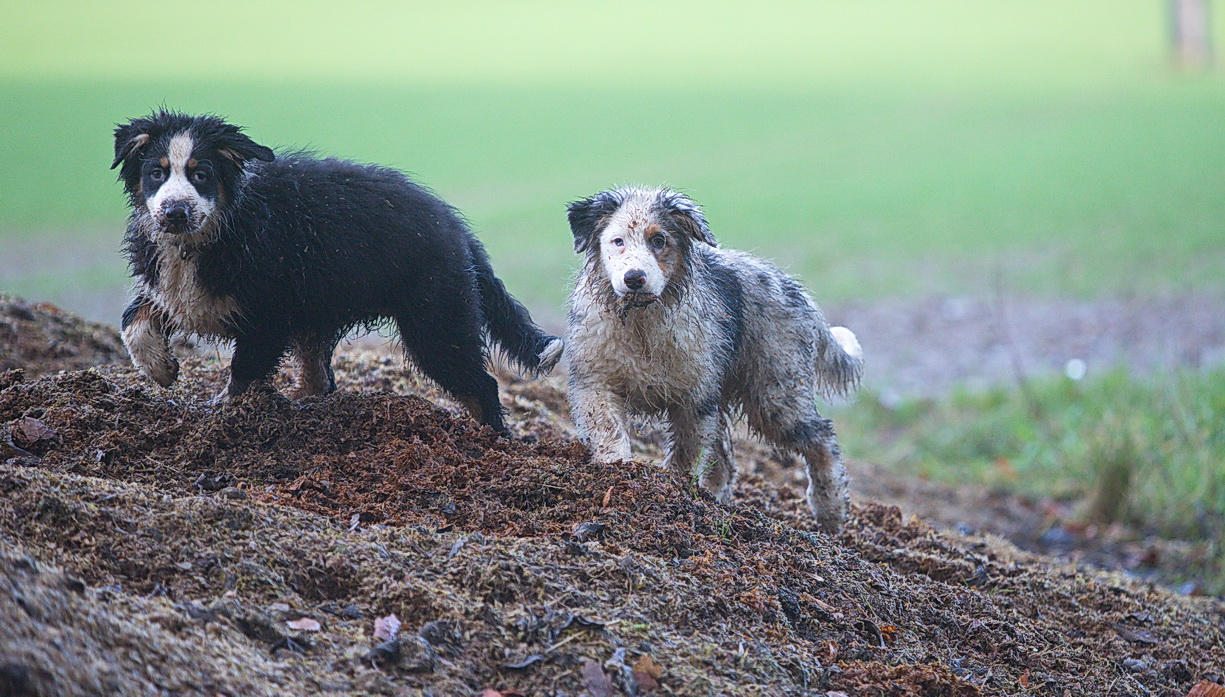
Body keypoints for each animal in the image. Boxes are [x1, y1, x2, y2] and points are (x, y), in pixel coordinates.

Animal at [112, 107, 561, 428]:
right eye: (156, 173)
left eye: (201, 174)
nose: (175, 212)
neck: (206, 237)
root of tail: (457, 228)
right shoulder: (177, 288)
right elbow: (133, 318)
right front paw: (161, 369)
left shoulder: (267, 310)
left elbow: (246, 368)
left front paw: (226, 408)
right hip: (321, 311)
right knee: (319, 379)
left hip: (436, 316)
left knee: (478, 384)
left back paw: (490, 440)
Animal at [563, 186, 862, 531]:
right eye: (617, 240)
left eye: (659, 240)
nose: (634, 278)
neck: (641, 322)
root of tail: (799, 294)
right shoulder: (594, 381)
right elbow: (607, 430)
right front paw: (617, 472)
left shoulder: (694, 398)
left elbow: (688, 454)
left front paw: (675, 490)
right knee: (725, 459)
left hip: (775, 391)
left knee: (821, 438)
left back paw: (830, 512)